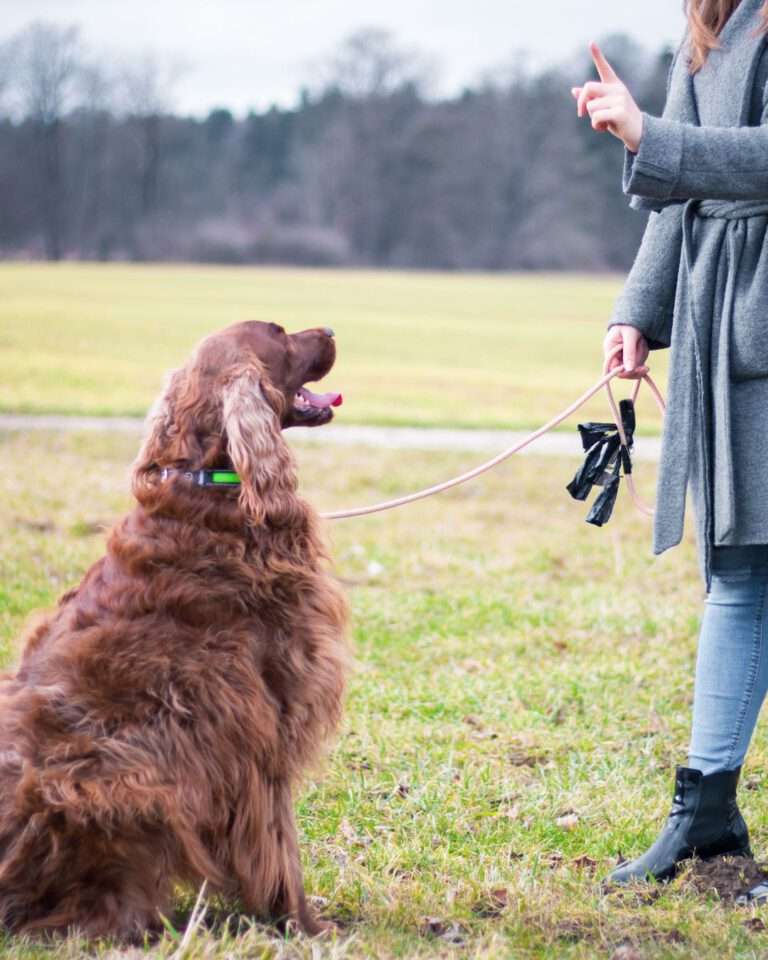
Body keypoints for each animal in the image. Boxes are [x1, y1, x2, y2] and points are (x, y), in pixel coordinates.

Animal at [0, 321, 348, 940]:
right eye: (281, 333)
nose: (330, 329)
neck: (211, 488)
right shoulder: (266, 719)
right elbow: (281, 844)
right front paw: (304, 925)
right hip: (117, 777)